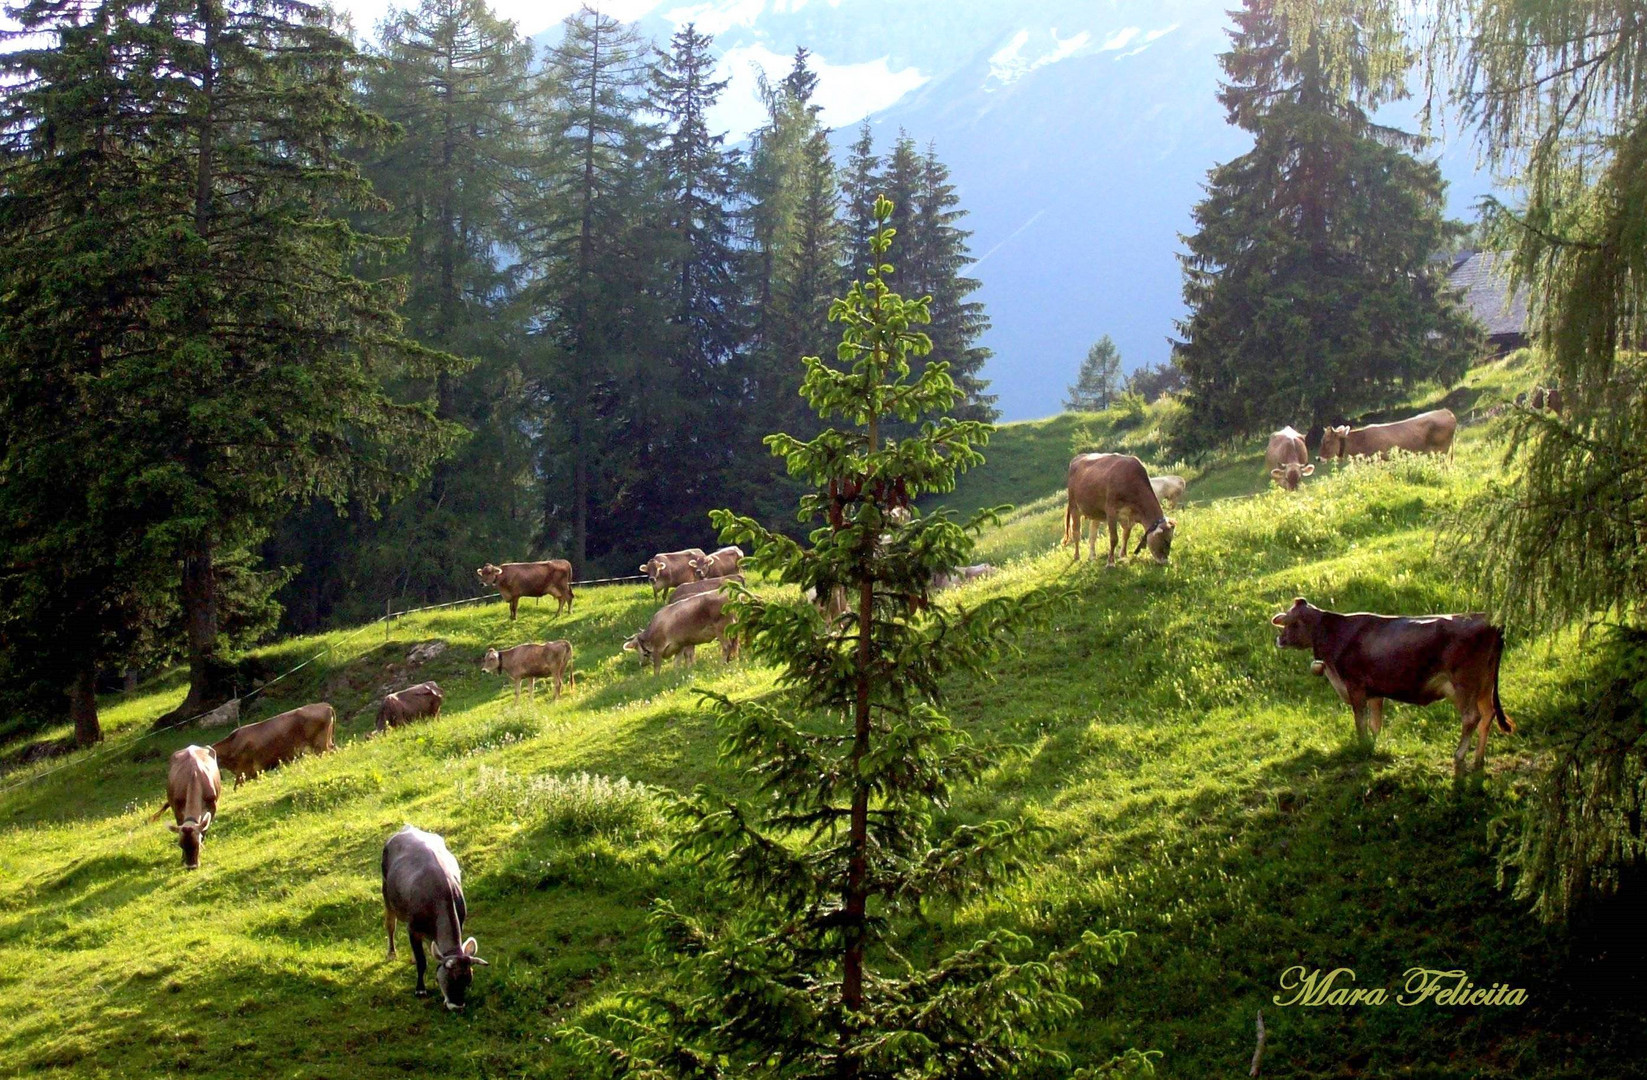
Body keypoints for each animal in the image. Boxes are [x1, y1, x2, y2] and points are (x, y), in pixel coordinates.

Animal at [149, 747, 222, 875]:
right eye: (180, 844)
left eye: (198, 843)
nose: (191, 867)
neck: (194, 776)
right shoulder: (177, 808)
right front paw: (182, 858)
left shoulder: (212, 806)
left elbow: (204, 830)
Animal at [380, 826, 487, 1014]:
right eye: (449, 980)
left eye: (468, 981)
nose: (457, 1006)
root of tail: (407, 827)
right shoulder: (413, 928)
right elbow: (422, 961)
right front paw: (420, 989)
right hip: (386, 891)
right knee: (390, 924)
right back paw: (392, 953)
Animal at [1271, 599, 1515, 777]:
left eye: (1292, 622)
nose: (1279, 640)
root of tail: (1489, 620)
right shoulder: (1375, 693)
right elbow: (1375, 723)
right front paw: (1373, 746)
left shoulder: (1355, 686)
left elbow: (1360, 721)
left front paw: (1362, 747)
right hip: (1484, 685)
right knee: (1487, 714)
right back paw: (1478, 759)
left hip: (1465, 683)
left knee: (1471, 717)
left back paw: (1460, 755)